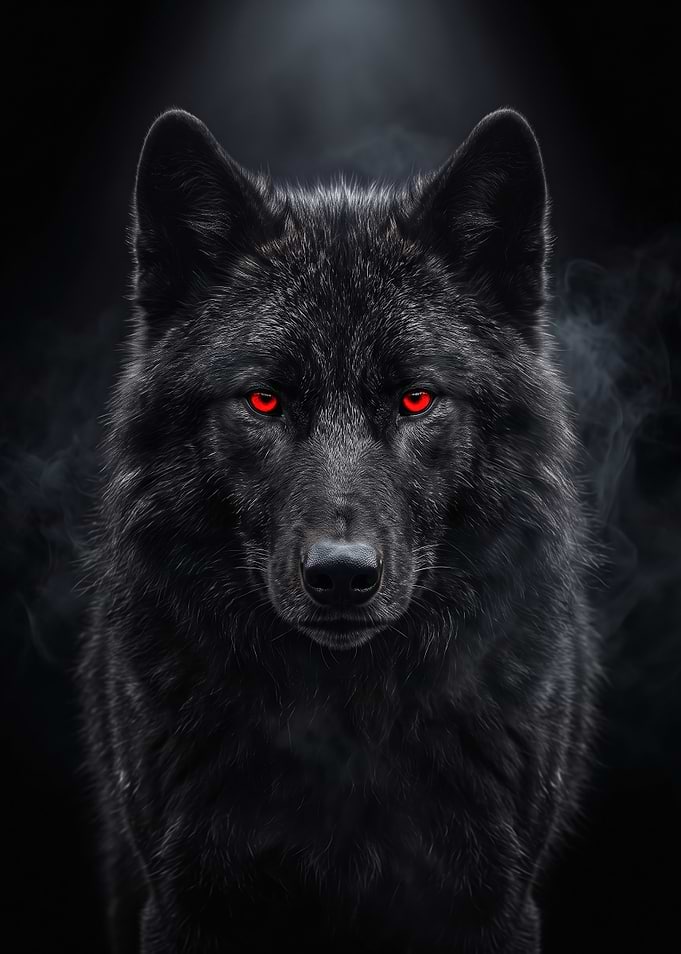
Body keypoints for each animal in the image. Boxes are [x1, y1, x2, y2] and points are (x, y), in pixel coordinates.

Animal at [79, 107, 598, 953]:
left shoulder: (493, 903)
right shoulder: (185, 903)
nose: (342, 575)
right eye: (263, 400)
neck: (344, 715)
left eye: (416, 399)